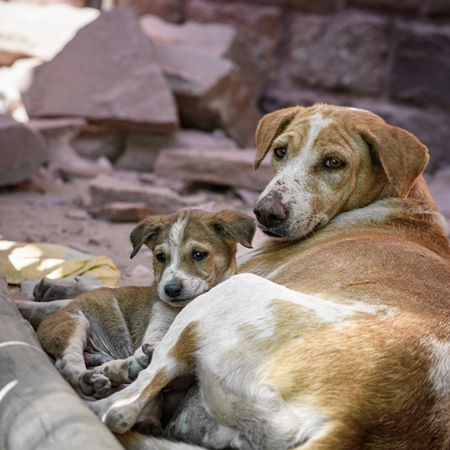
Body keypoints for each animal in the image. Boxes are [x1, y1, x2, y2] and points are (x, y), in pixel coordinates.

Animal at [88, 105, 450, 450]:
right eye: (280, 151)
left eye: (334, 163)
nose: (265, 213)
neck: (401, 203)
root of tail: (351, 421)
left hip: (229, 293)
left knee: (124, 408)